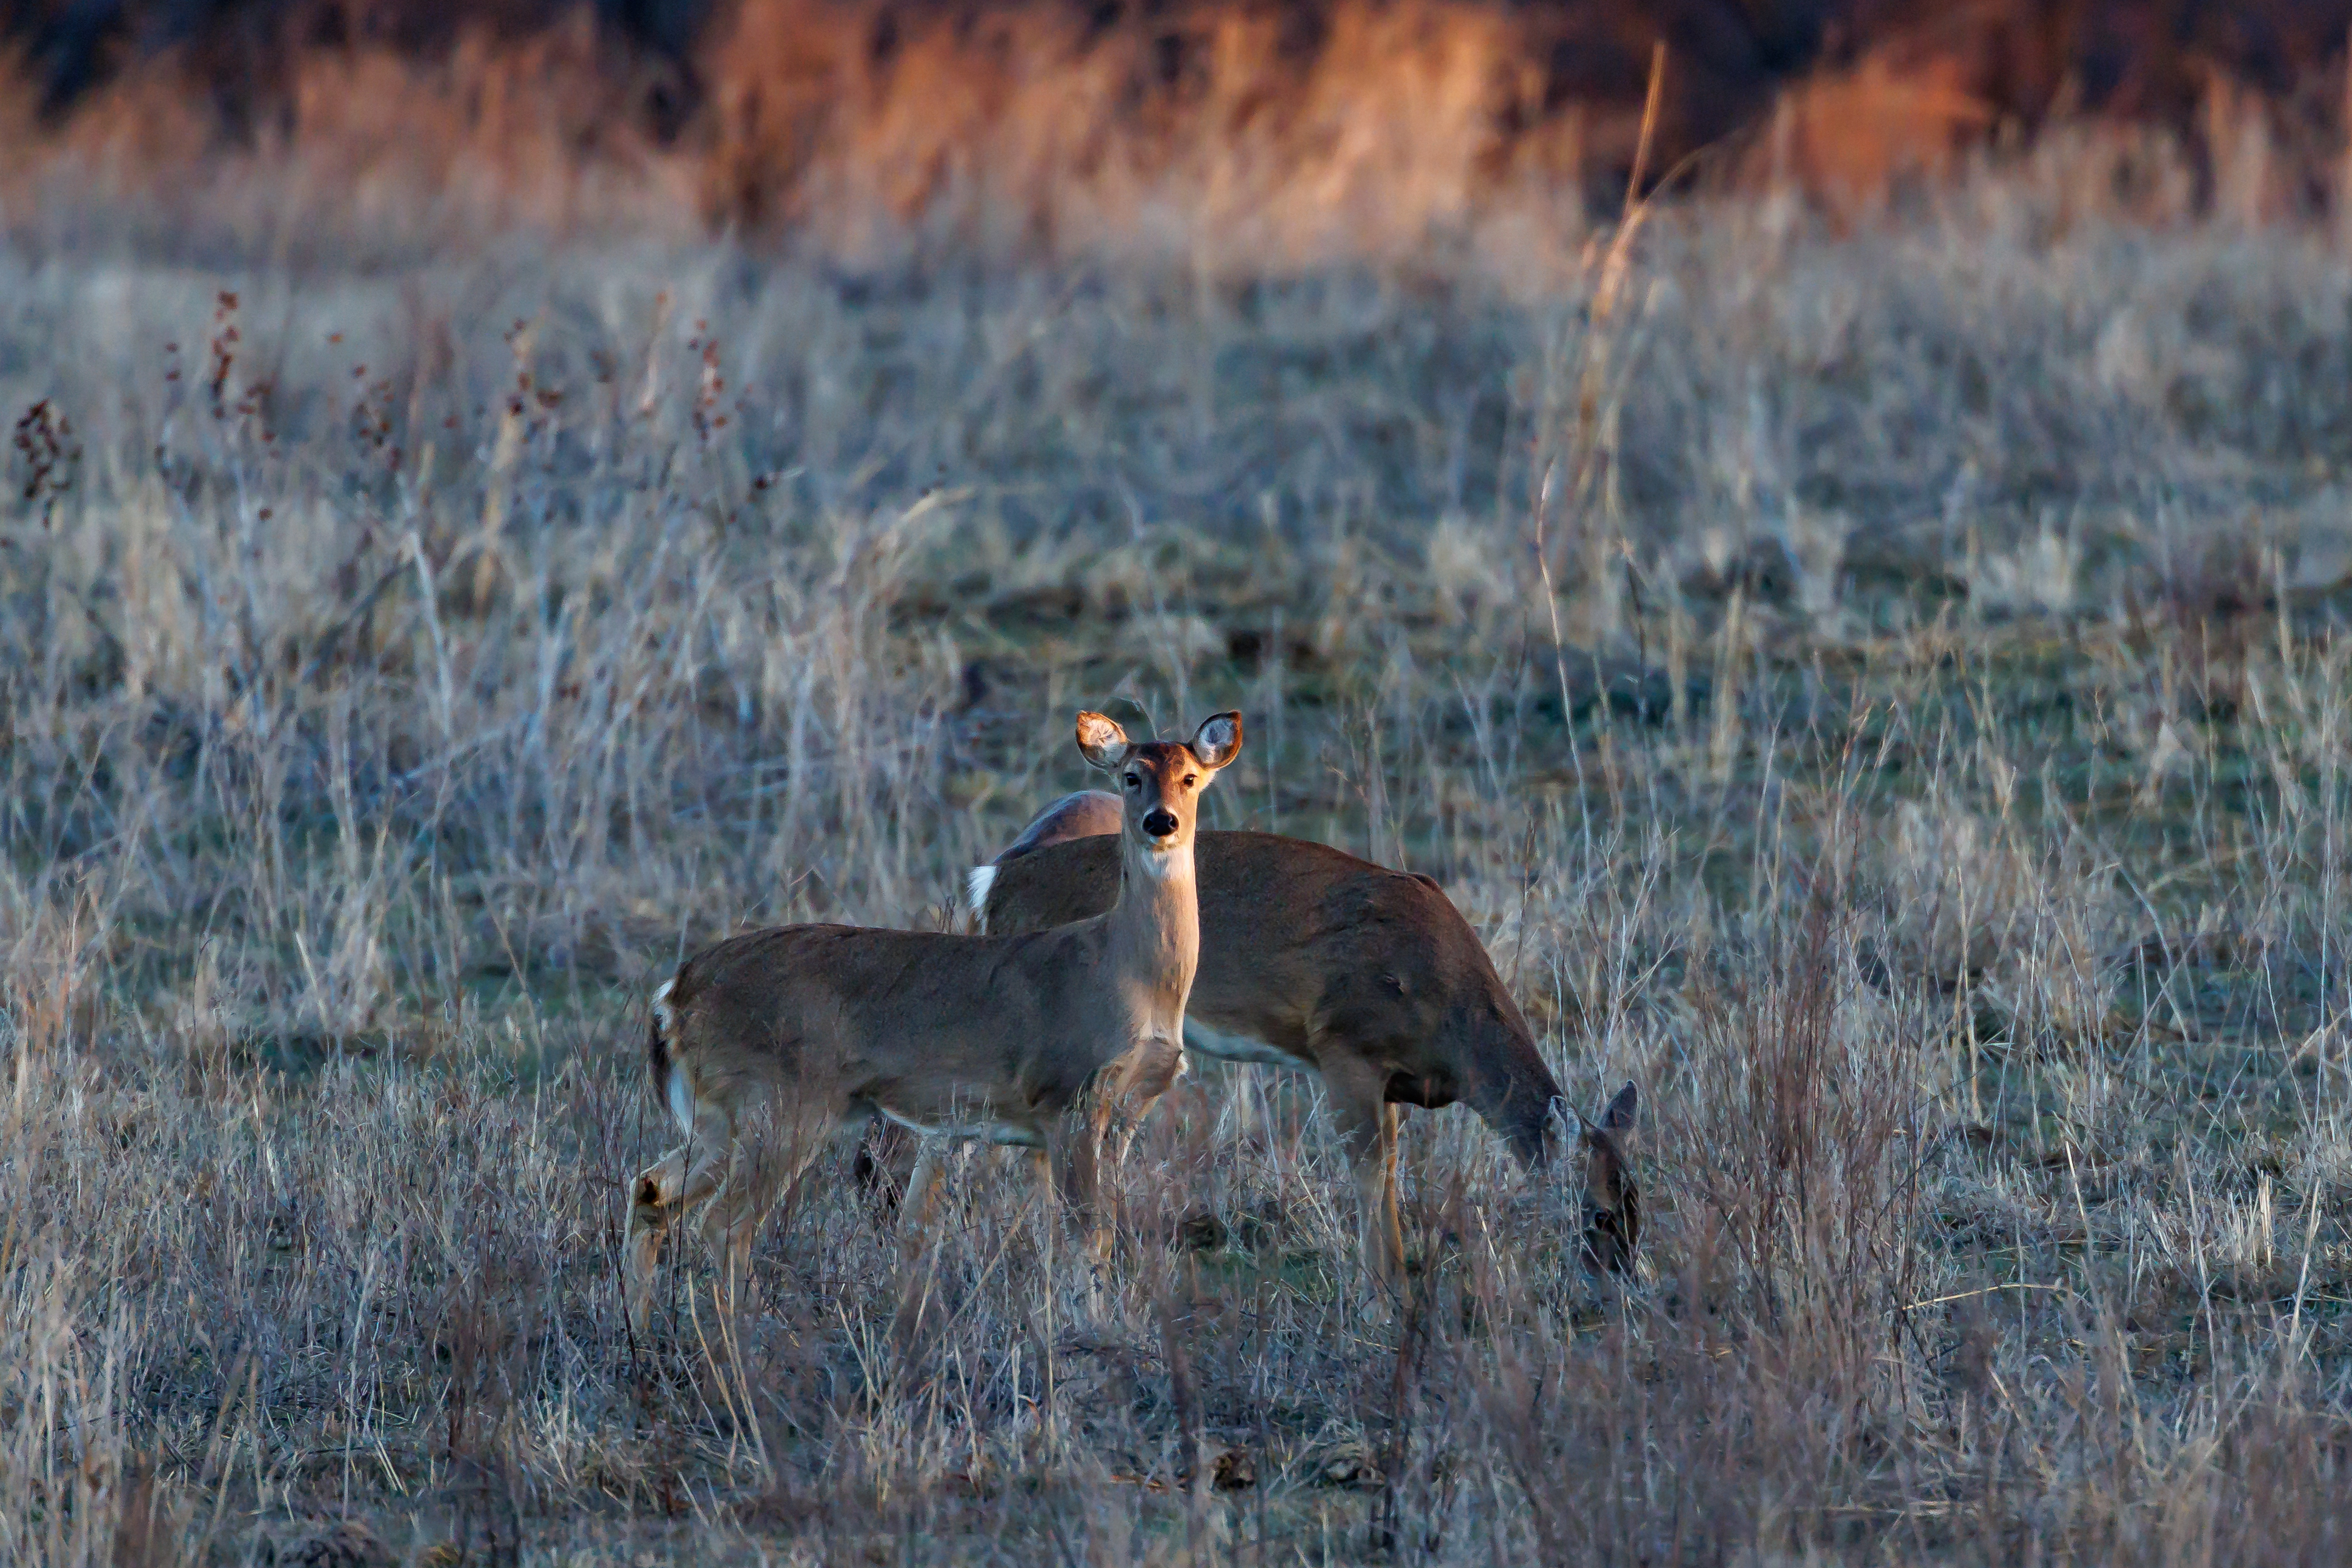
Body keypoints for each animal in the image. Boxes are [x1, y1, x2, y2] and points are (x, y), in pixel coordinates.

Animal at [626, 711, 1242, 1336]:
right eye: (1131, 776)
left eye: (1190, 778)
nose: (1160, 821)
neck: (1130, 974)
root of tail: (673, 995)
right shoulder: (1069, 1095)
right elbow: (1083, 1235)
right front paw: (1093, 1329)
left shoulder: (1123, 1110)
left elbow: (1095, 1233)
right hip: (781, 1101)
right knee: (724, 1221)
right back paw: (745, 1334)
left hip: (722, 1115)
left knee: (652, 1188)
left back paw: (639, 1322)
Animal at [944, 793, 1642, 1287]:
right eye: (1598, 1211)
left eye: (1640, 1201)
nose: (1622, 1284)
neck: (1448, 1011)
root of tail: (996, 881)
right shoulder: (1344, 1045)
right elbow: (1370, 1169)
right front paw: (1384, 1293)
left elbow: (1390, 1170)